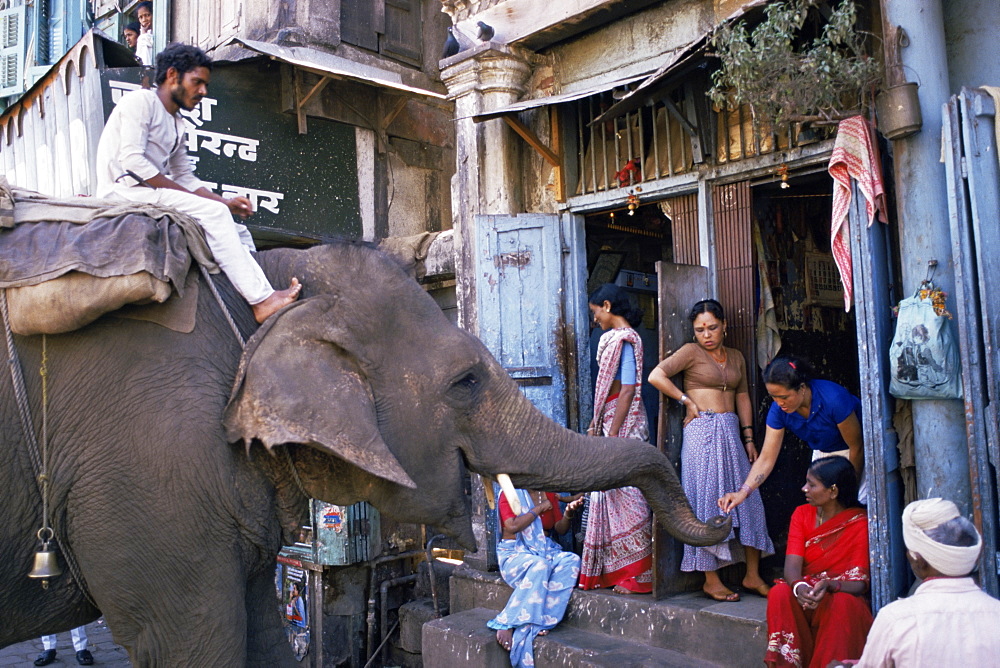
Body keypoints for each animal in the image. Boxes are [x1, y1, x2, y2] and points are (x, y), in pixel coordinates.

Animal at [0, 243, 728, 664]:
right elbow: (191, 640)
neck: (264, 295)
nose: (722, 514)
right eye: (467, 381)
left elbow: (262, 629)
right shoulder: (149, 479)